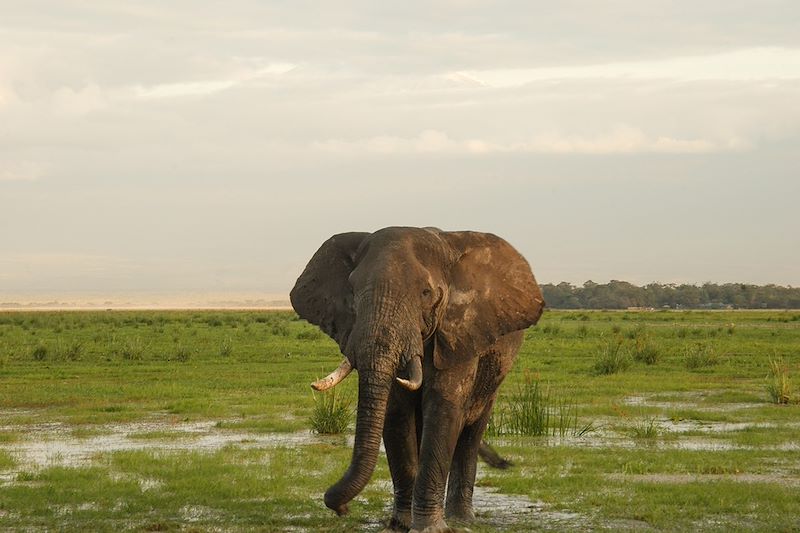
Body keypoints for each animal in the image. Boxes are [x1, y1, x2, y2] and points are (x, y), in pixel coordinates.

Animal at [290, 226, 544, 532]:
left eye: (425, 292)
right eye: (352, 290)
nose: (343, 509)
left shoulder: (457, 333)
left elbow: (443, 410)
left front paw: (430, 528)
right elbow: (396, 414)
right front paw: (401, 524)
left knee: (471, 435)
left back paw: (461, 518)